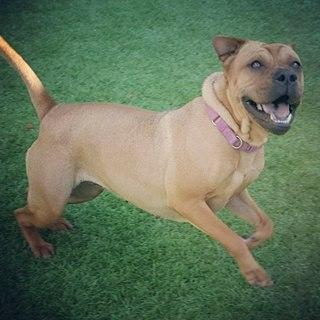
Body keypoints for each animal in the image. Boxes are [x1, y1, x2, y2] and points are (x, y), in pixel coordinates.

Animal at [0, 35, 304, 288]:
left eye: (296, 64)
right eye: (255, 64)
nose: (288, 76)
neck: (233, 133)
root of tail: (54, 111)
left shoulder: (235, 196)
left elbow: (266, 224)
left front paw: (252, 241)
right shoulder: (190, 204)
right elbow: (231, 239)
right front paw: (253, 270)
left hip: (81, 191)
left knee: (32, 208)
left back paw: (55, 225)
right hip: (52, 197)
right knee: (21, 213)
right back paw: (39, 245)